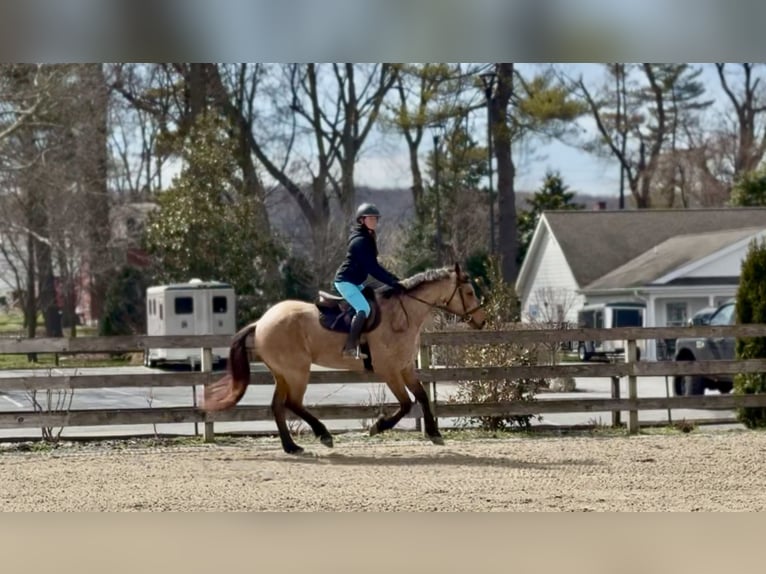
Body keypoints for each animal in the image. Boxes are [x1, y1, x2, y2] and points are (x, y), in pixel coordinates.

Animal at [201, 262, 486, 454]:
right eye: (469, 292)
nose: (482, 321)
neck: (402, 314)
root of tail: (261, 322)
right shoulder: (390, 371)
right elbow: (406, 404)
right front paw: (378, 426)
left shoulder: (406, 368)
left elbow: (423, 397)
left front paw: (435, 434)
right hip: (297, 371)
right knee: (293, 403)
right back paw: (323, 435)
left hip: (283, 373)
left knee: (278, 406)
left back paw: (292, 446)